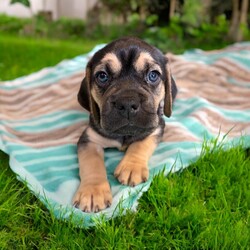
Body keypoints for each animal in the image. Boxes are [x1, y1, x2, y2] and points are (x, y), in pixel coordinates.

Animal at [73, 37, 177, 213]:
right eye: (102, 76)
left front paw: (131, 167)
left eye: (153, 75)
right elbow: (91, 162)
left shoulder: (155, 126)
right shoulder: (89, 139)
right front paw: (93, 191)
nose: (127, 103)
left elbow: (141, 144)